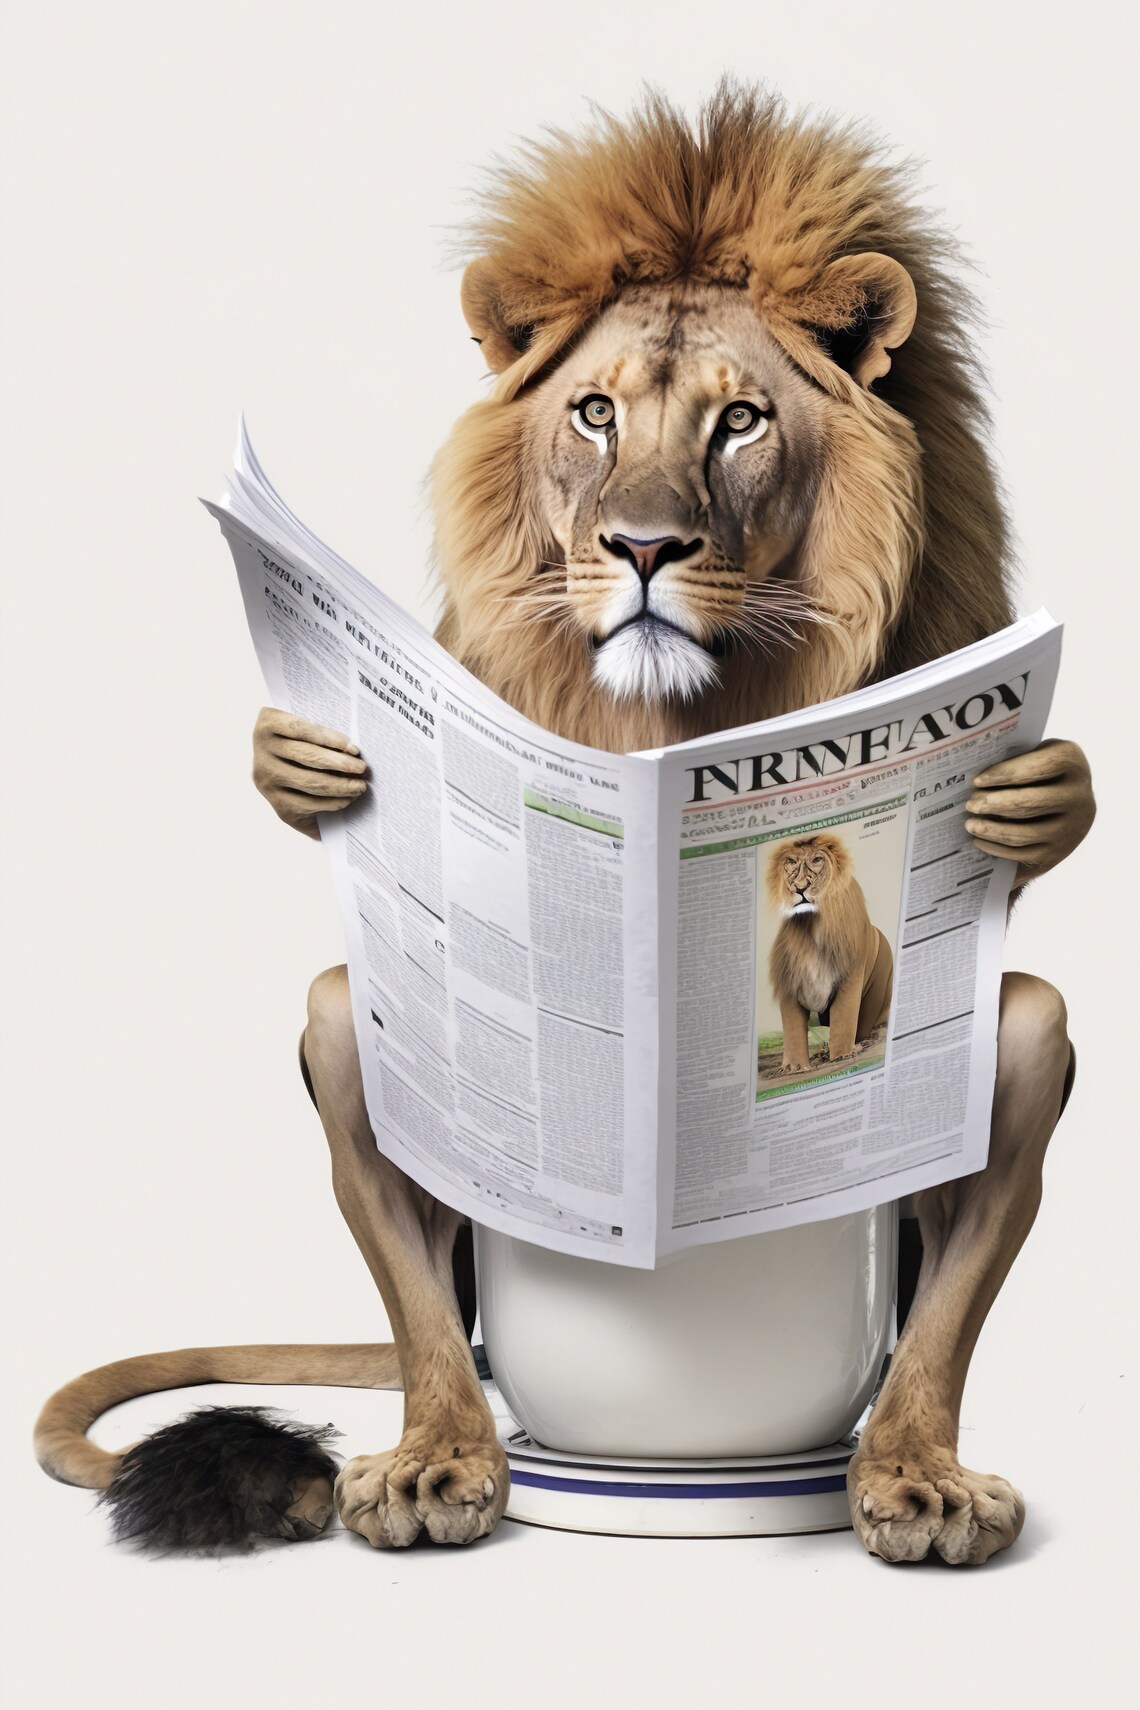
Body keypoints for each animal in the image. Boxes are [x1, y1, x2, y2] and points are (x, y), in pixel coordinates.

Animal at [765, 834, 893, 1074]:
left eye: (817, 860)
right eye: (791, 863)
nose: (800, 889)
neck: (811, 926)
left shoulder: (851, 974)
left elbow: (844, 1017)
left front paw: (842, 1055)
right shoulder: (790, 977)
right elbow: (793, 1030)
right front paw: (795, 1066)